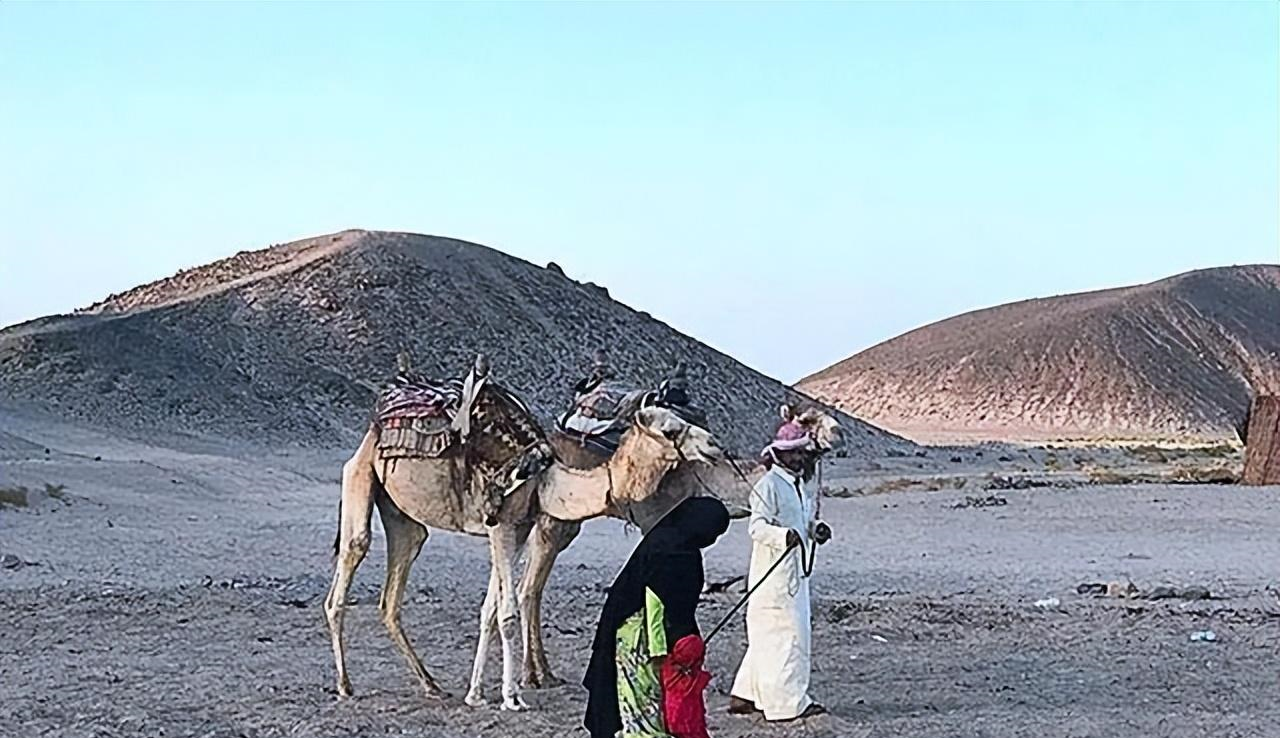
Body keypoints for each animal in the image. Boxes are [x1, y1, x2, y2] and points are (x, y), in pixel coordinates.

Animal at [322, 399, 721, 711]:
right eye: (670, 429)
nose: (714, 445)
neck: (546, 480)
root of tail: (371, 433)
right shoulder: (501, 524)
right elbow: (508, 614)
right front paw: (512, 697)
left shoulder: (519, 529)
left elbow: (489, 611)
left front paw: (476, 693)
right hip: (360, 476)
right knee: (351, 558)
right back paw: (345, 686)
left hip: (402, 516)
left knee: (395, 587)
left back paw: (431, 685)